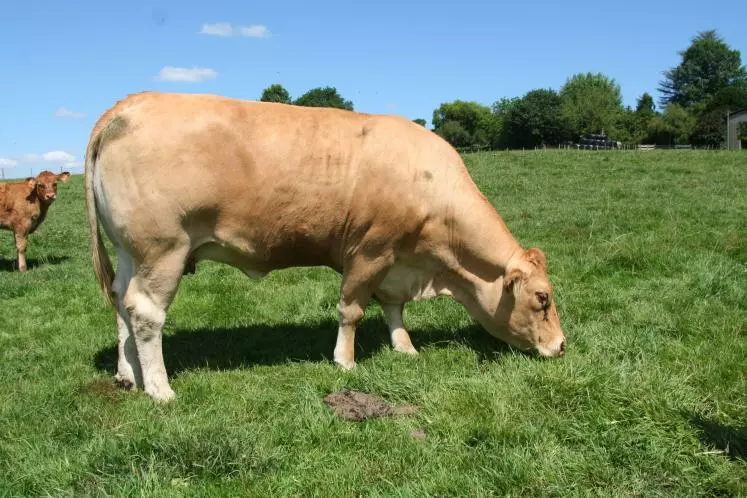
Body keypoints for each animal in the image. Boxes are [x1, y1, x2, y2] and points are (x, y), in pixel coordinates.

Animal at [84, 91, 568, 402]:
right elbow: (352, 310)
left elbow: (393, 307)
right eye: (542, 298)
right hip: (164, 249)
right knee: (146, 313)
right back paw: (160, 388)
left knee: (121, 302)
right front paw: (346, 361)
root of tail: (131, 102)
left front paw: (405, 347)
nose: (562, 346)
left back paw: (128, 375)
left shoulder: (396, 261)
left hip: (130, 253)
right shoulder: (369, 251)